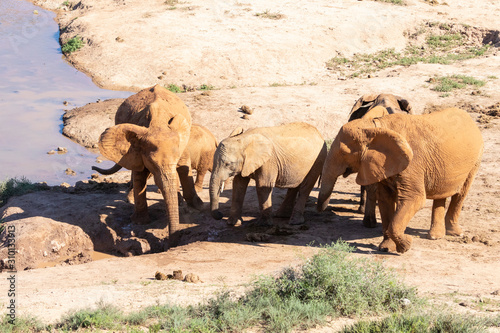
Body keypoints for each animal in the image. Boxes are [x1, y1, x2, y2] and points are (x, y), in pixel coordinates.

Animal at [95, 85, 201, 246]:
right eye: (152, 163)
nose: (170, 244)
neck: (158, 123)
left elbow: (183, 168)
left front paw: (196, 206)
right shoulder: (139, 150)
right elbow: (140, 176)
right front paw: (140, 222)